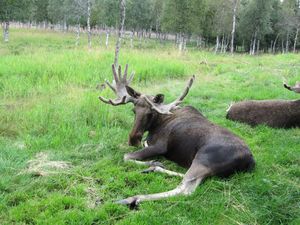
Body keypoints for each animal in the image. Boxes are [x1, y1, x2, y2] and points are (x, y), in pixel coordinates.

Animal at [99, 64, 254, 207]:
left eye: (150, 113)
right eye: (133, 110)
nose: (133, 139)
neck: (158, 122)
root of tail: (251, 160)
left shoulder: (160, 146)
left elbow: (126, 157)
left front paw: (150, 161)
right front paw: (153, 163)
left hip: (203, 159)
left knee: (185, 189)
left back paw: (134, 197)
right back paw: (155, 167)